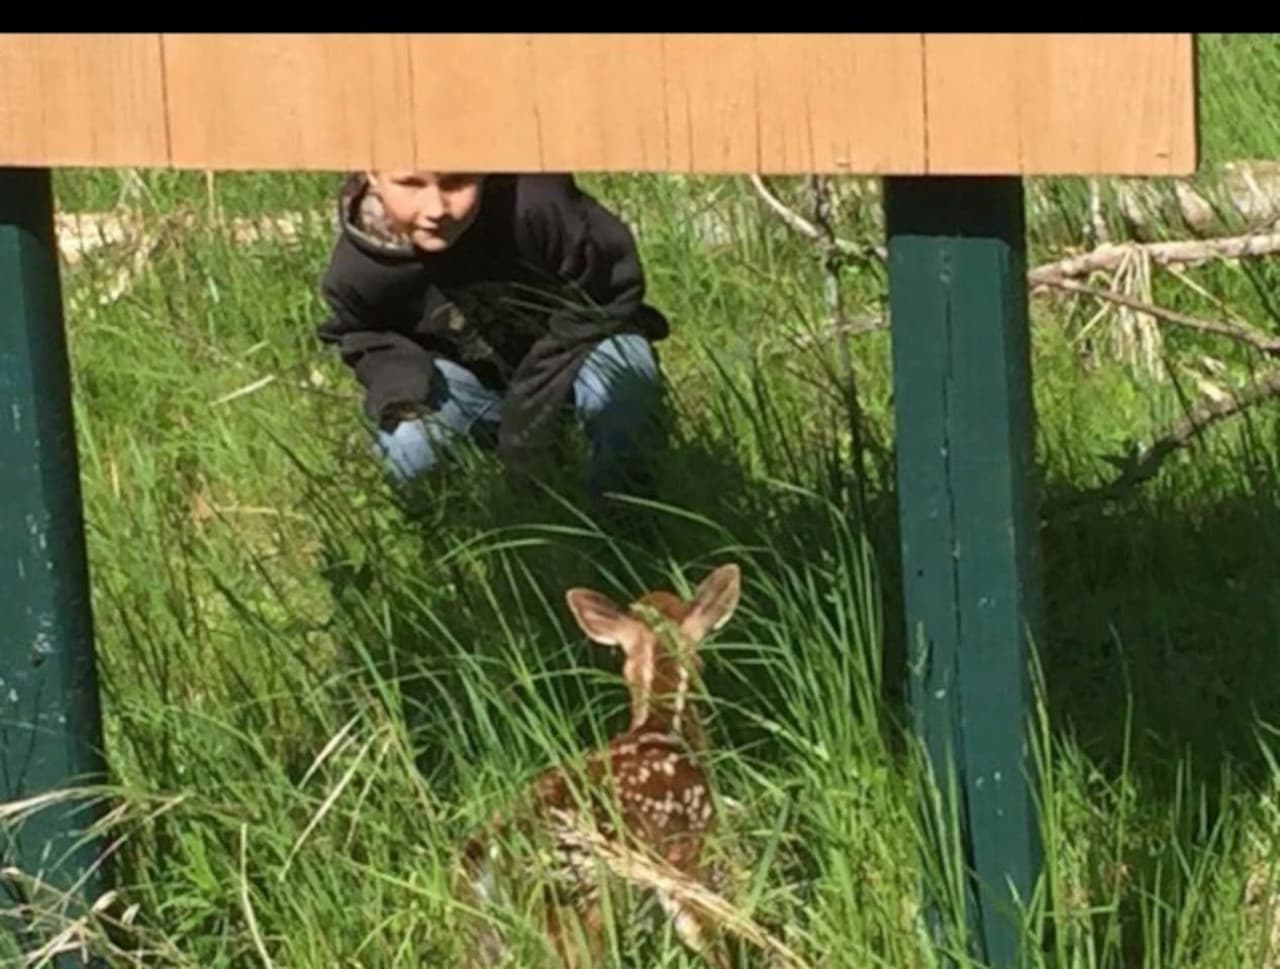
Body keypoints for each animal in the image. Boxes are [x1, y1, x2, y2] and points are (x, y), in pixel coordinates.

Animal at [454, 562, 743, 967]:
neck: (665, 725)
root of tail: (485, 862)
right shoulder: (686, 851)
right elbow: (704, 936)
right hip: (576, 908)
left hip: (483, 937)